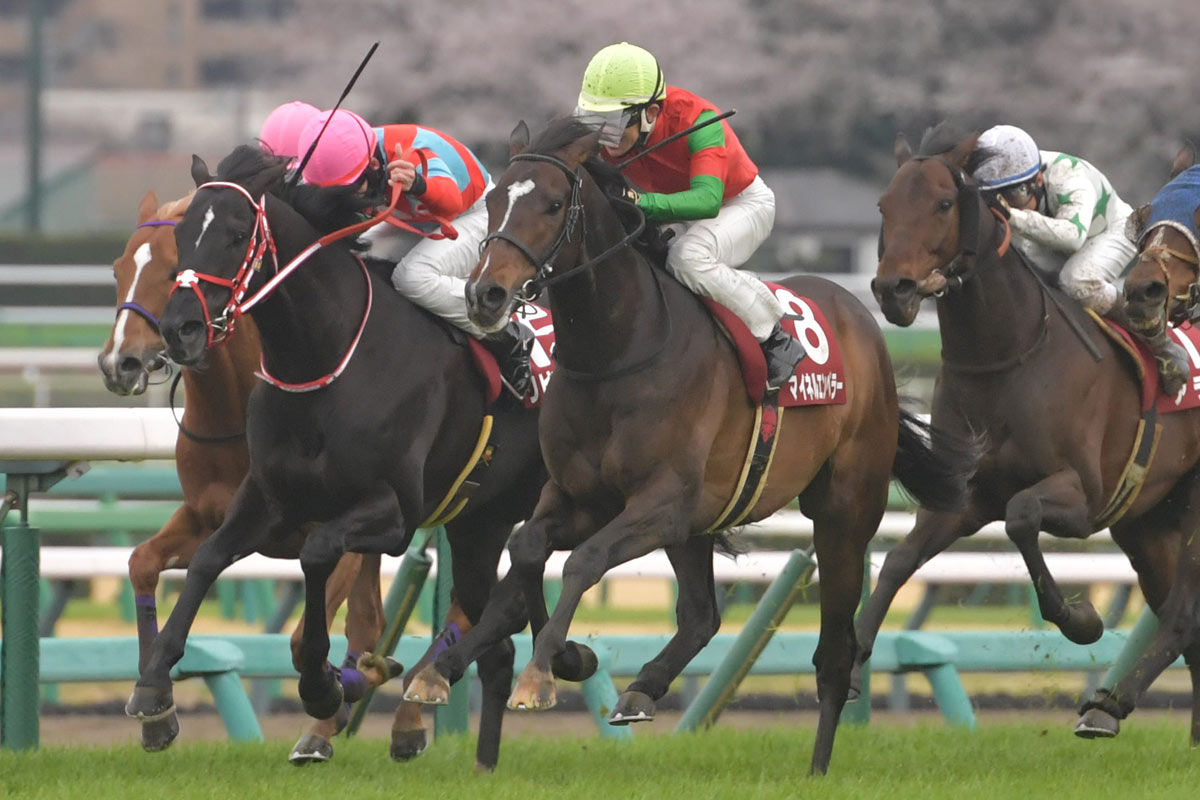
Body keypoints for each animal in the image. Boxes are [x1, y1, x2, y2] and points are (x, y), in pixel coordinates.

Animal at [120, 147, 546, 772]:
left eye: (236, 234)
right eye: (183, 236)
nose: (180, 329)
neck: (324, 359)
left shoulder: (390, 515)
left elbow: (319, 564)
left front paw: (324, 687)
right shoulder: (263, 499)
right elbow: (203, 561)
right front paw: (153, 692)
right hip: (478, 523)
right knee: (495, 642)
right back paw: (483, 761)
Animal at [401, 118, 975, 775]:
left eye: (551, 204)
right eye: (494, 200)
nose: (485, 295)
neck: (616, 353)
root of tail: (863, 320)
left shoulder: (662, 502)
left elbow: (582, 563)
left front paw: (543, 671)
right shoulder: (584, 498)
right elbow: (526, 553)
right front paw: (471, 665)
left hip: (843, 511)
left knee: (835, 650)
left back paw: (818, 766)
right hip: (703, 520)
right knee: (702, 615)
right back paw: (641, 690)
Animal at [867, 123, 1200, 744]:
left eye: (943, 204)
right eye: (884, 205)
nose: (891, 289)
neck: (1007, 356)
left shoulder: (1083, 496)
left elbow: (1021, 516)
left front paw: (1082, 621)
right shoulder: (964, 499)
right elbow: (897, 563)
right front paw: (850, 665)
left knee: (1185, 613)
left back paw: (1108, 704)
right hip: (1148, 525)